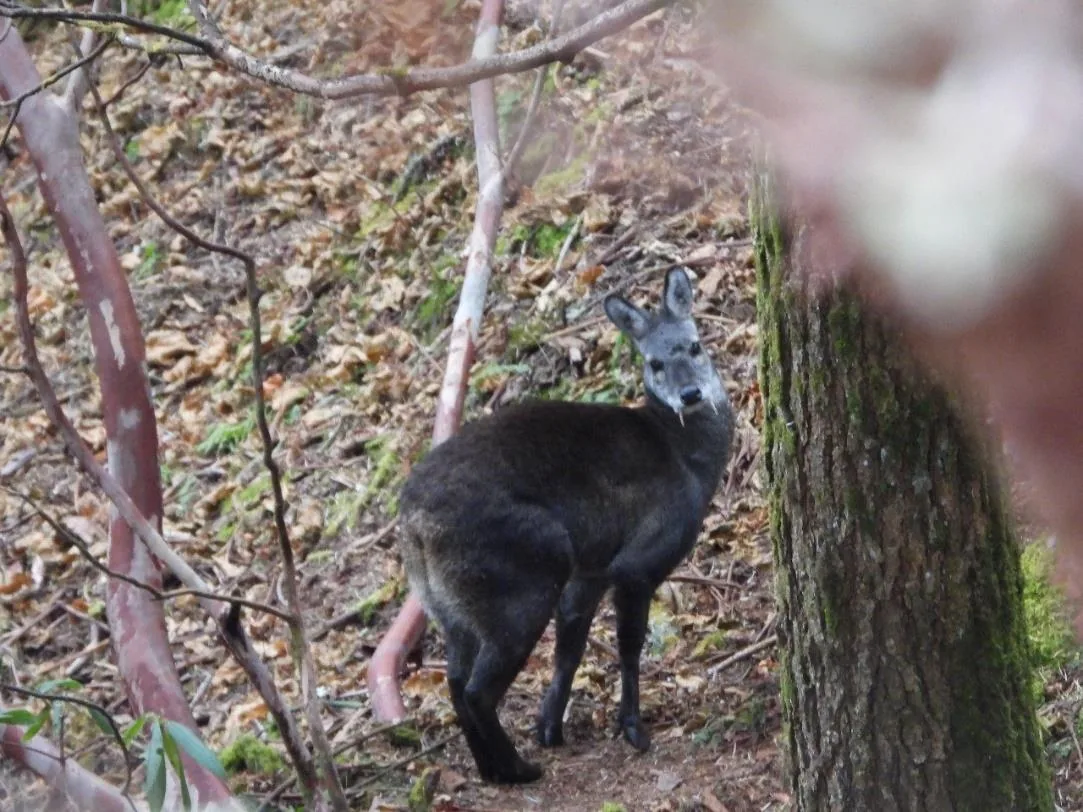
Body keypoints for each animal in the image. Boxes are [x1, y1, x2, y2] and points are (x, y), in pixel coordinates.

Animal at [397, 267, 734, 784]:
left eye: (695, 345)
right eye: (655, 362)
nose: (691, 394)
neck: (690, 462)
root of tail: (412, 524)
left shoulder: (591, 569)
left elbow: (569, 646)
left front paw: (549, 727)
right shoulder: (639, 560)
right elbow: (629, 645)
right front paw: (633, 729)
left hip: (450, 604)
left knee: (454, 680)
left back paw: (492, 768)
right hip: (526, 574)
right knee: (477, 688)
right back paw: (518, 769)